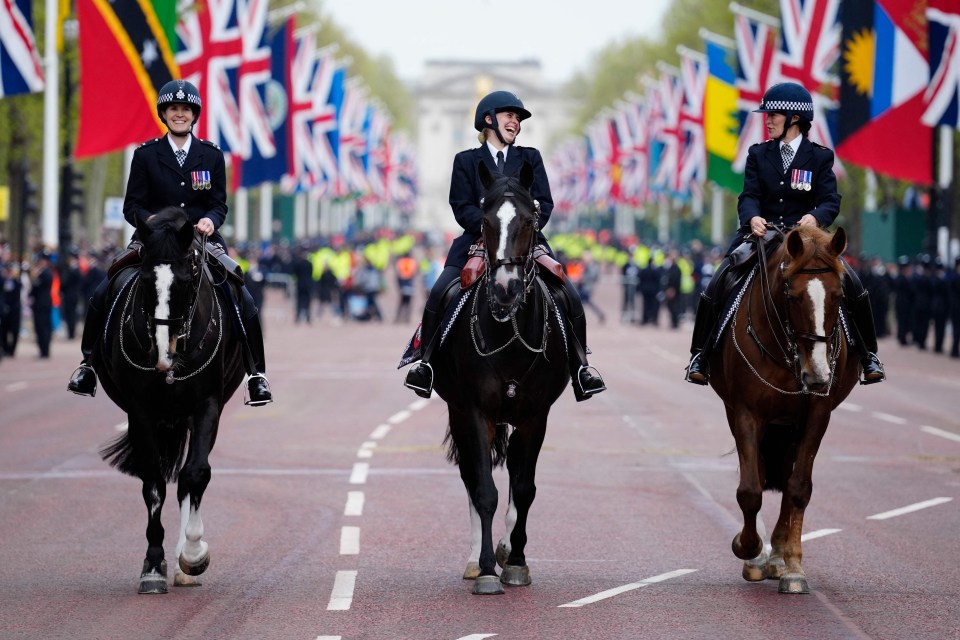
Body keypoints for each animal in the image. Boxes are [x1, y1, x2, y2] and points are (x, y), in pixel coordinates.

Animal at [94, 208, 246, 592]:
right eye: (147, 280)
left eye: (189, 279)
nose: (164, 356)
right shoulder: (140, 412)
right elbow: (153, 483)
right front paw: (153, 565)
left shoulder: (207, 406)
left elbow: (195, 474)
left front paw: (193, 554)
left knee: (188, 481)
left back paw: (184, 564)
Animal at [708, 226, 860, 596]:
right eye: (792, 295)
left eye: (839, 295)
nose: (818, 375)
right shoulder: (746, 413)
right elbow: (751, 489)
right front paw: (747, 549)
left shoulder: (817, 415)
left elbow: (798, 488)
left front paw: (792, 566)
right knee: (761, 476)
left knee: (789, 482)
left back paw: (778, 556)